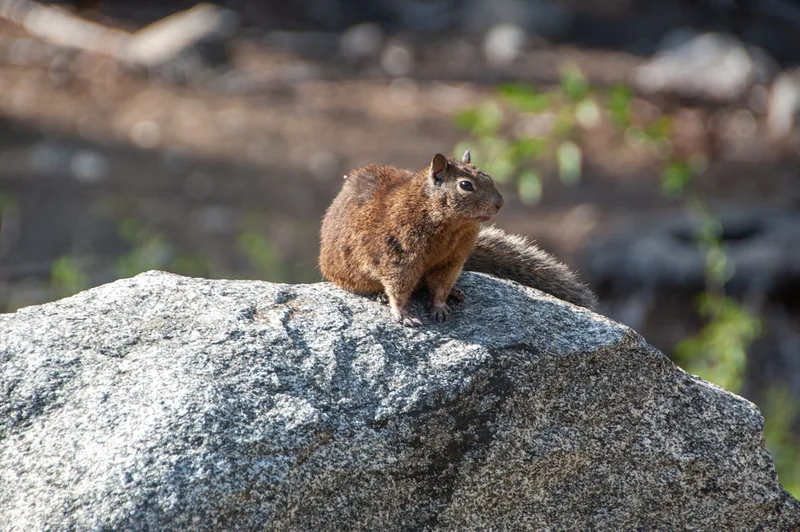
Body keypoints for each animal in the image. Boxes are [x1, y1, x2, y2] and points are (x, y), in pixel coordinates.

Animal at [319, 150, 597, 327]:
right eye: (465, 185)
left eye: (489, 176)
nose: (500, 203)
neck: (452, 227)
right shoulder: (398, 256)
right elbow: (398, 288)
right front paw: (403, 314)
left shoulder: (453, 260)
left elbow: (442, 285)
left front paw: (440, 306)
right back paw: (380, 295)